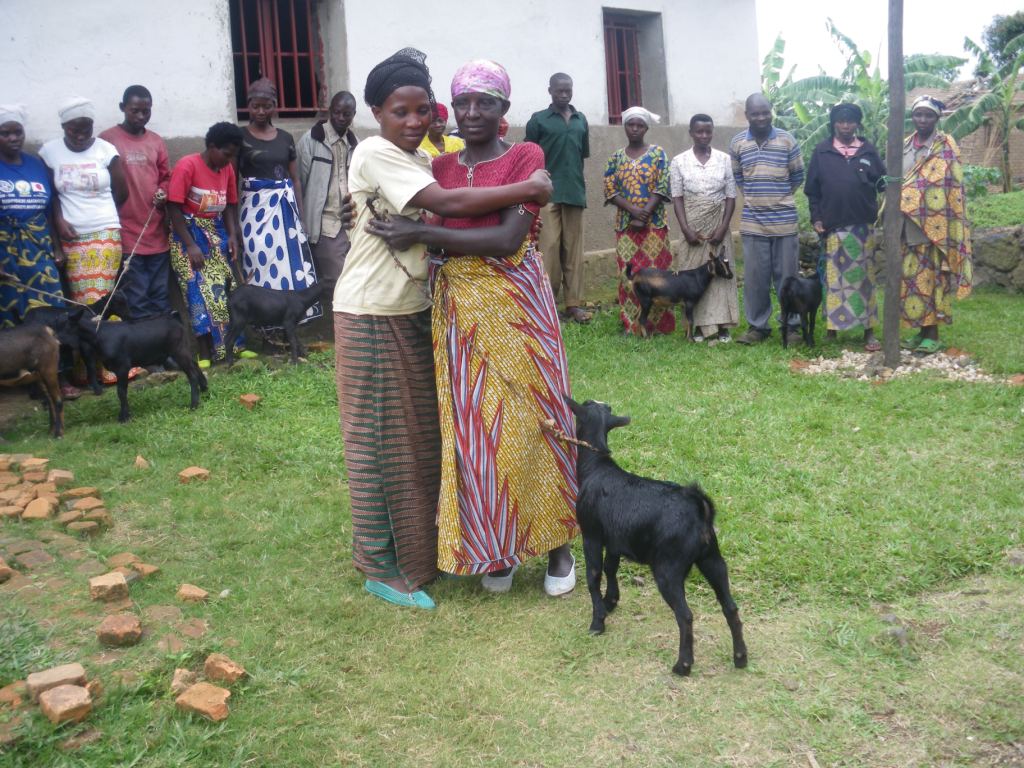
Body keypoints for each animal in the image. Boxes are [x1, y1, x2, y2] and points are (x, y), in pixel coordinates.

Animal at [74, 303, 207, 423]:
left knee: (192, 374)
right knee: (195, 365)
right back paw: (204, 389)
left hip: (178, 351)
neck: (99, 333)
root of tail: (173, 317)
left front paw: (124, 417)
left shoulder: (122, 366)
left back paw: (194, 404)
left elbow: (121, 391)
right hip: (180, 352)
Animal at [565, 399, 749, 675]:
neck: (596, 467)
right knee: (730, 606)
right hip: (713, 559)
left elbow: (594, 575)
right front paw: (611, 602)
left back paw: (683, 665)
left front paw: (598, 622)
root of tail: (700, 509)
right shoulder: (615, 540)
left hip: (668, 569)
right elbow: (610, 568)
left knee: (685, 615)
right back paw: (740, 657)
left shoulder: (592, 535)